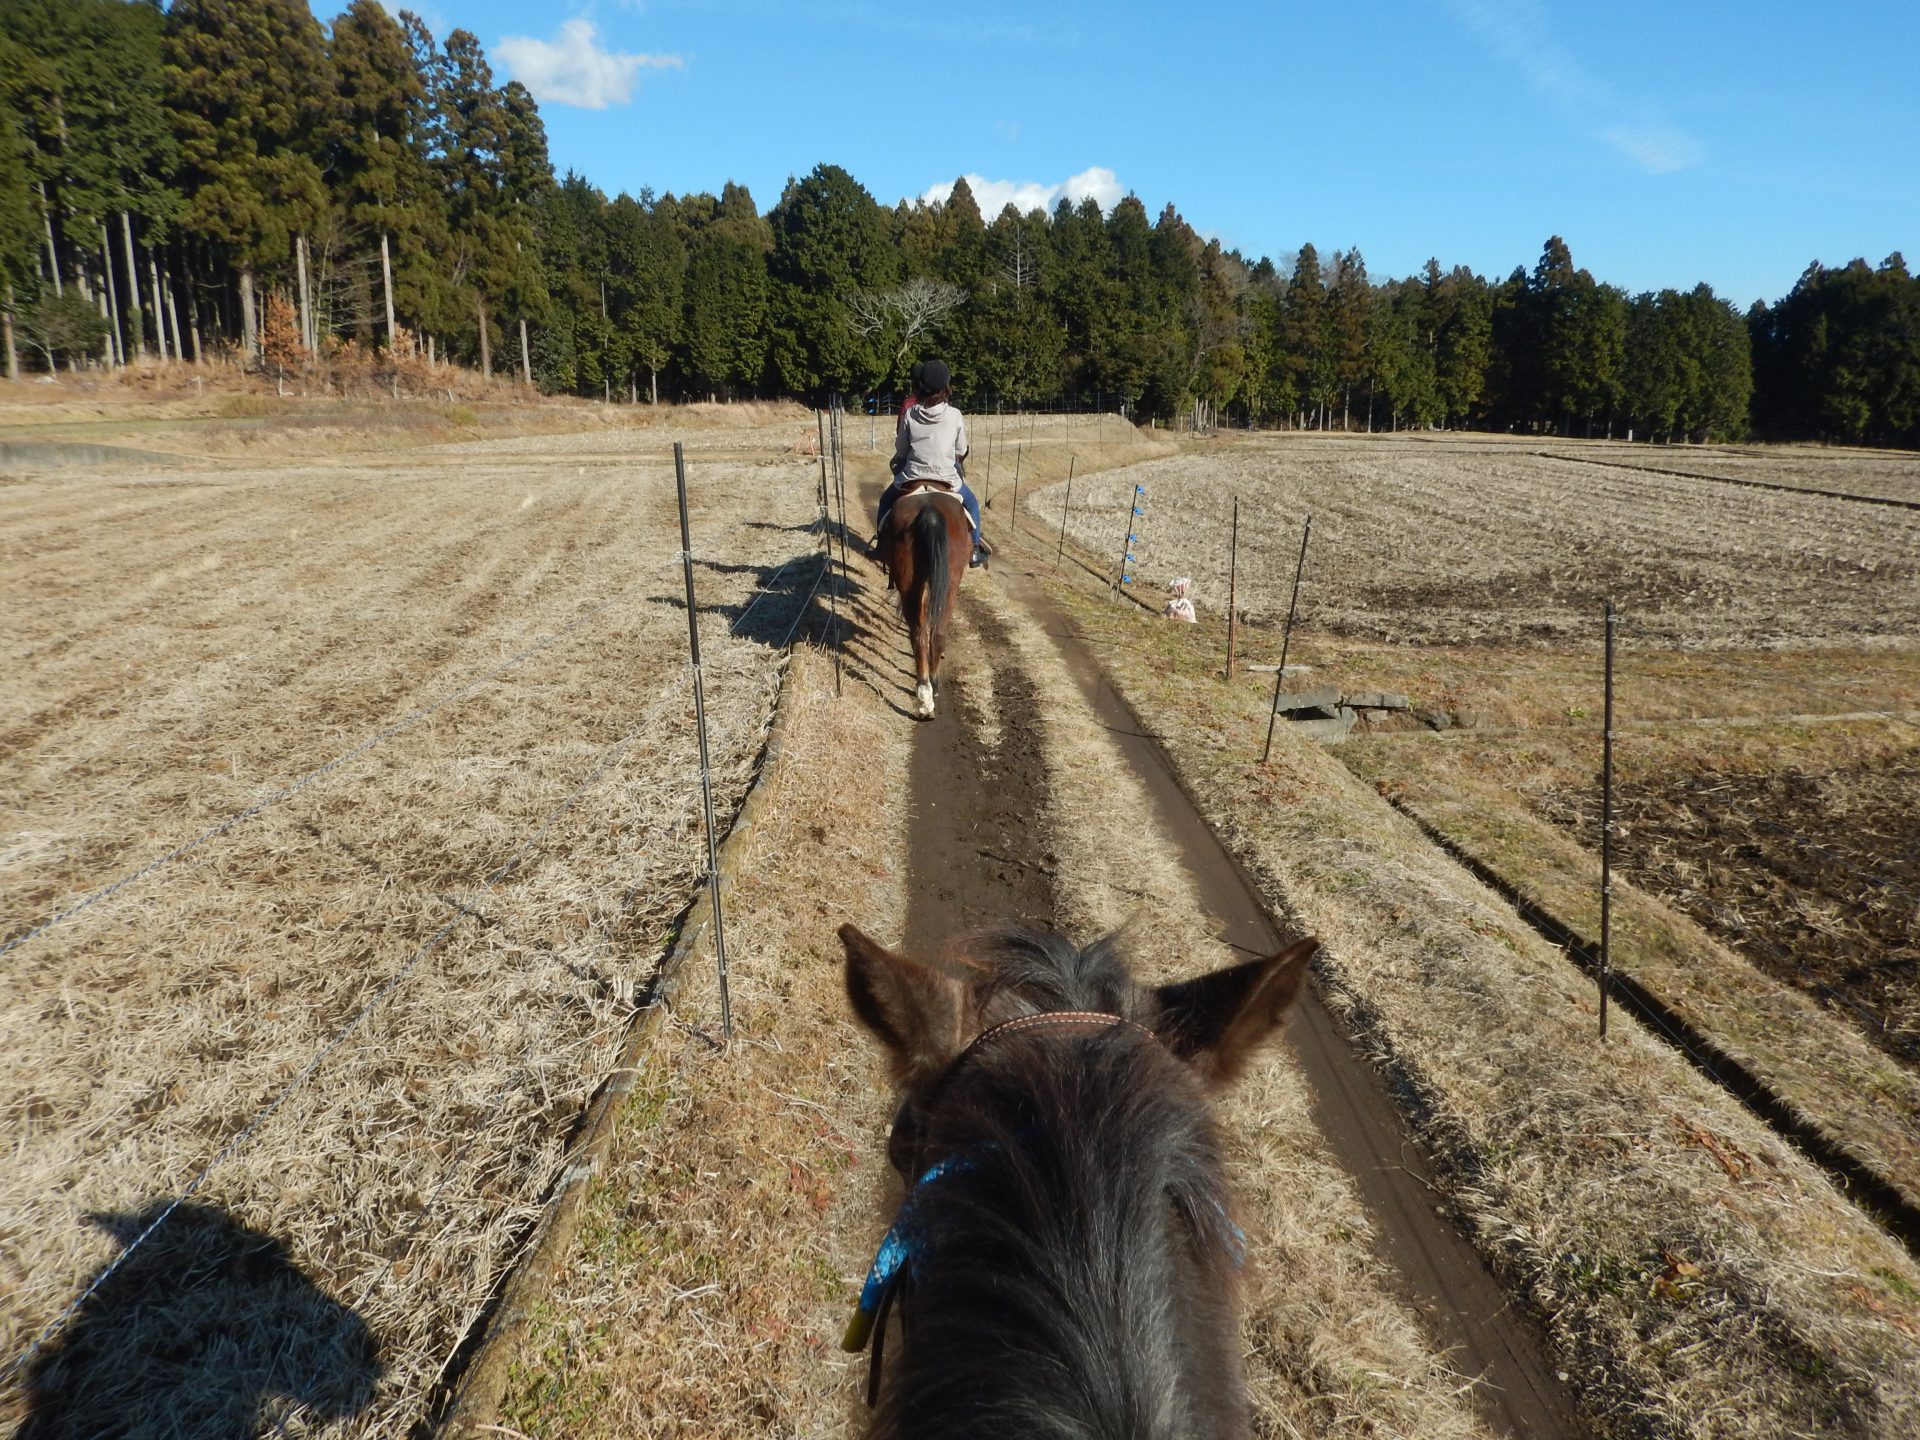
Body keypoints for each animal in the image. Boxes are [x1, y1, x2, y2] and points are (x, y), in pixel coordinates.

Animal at [875, 491, 967, 721]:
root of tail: (929, 511)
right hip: (948, 584)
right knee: (934, 632)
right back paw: (931, 688)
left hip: (911, 582)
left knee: (920, 633)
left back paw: (924, 697)